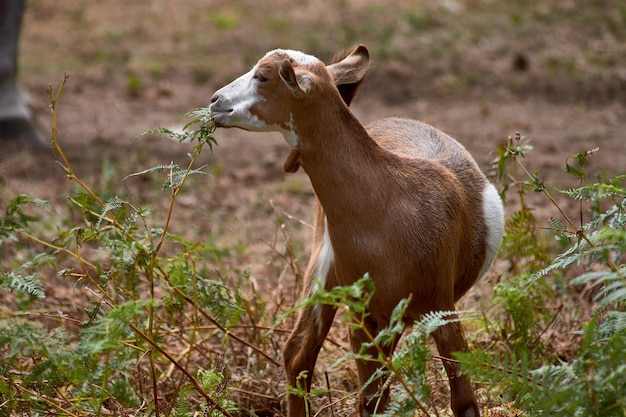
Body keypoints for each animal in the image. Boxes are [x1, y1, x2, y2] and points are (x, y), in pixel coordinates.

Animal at [208, 44, 502, 414]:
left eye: (262, 76)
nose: (215, 101)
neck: (388, 202)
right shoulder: (363, 314)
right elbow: (371, 399)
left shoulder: (440, 307)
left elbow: (463, 400)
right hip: (326, 270)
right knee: (299, 353)